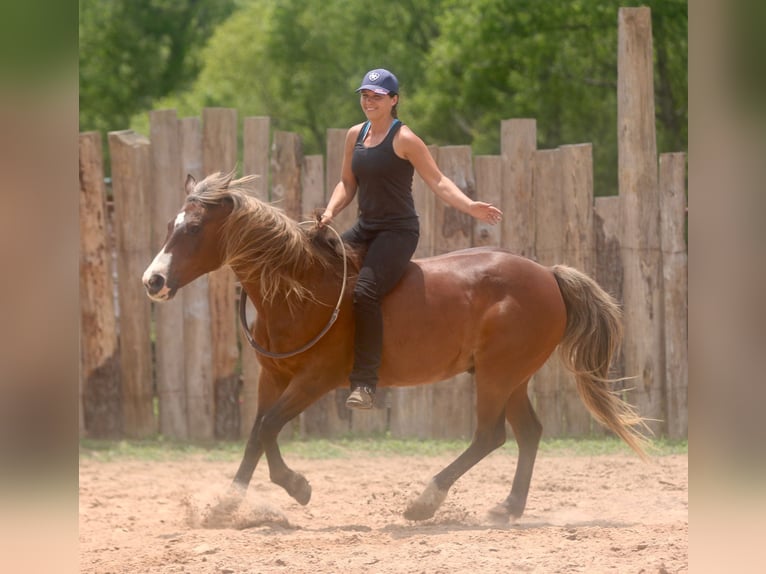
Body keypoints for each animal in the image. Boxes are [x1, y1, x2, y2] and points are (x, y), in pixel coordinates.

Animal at [142, 171, 649, 523]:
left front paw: (286, 489)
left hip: (497, 376)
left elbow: (267, 428)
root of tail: (547, 275)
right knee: (528, 433)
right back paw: (507, 508)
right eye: (169, 224)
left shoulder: (314, 381)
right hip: (511, 379)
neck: (301, 290)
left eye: (193, 230)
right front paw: (236, 504)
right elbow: (256, 435)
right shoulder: (274, 378)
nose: (153, 281)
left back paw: (424, 503)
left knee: (490, 436)